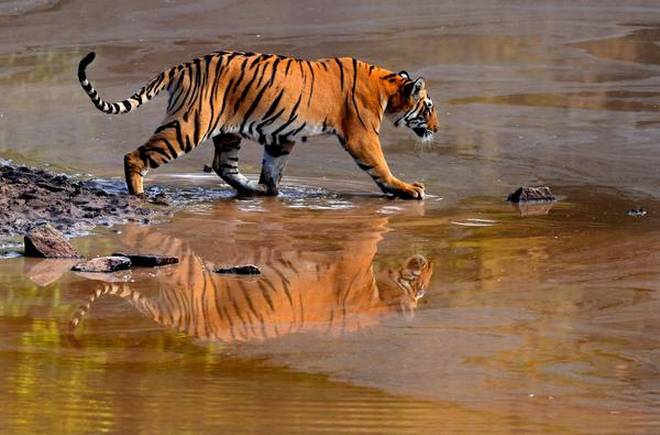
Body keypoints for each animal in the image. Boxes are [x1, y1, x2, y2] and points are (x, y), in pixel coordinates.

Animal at [77, 50, 439, 199]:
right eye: (428, 108)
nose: (436, 129)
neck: (387, 88)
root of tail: (184, 66)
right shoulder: (361, 135)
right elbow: (380, 166)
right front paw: (407, 189)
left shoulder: (282, 136)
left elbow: (272, 167)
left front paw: (271, 189)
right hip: (188, 125)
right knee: (136, 155)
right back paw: (139, 195)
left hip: (226, 132)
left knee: (223, 166)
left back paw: (253, 190)